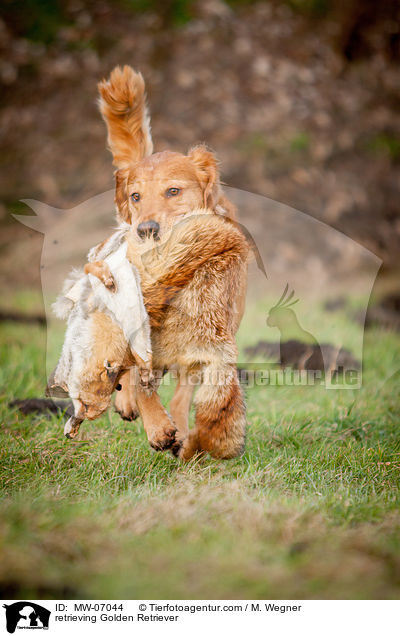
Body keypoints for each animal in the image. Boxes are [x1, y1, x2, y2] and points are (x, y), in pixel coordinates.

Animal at [95, 64, 248, 460]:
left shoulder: (207, 341)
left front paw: (177, 428)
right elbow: (139, 377)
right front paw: (157, 426)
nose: (146, 229)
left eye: (174, 191)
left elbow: (185, 388)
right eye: (135, 196)